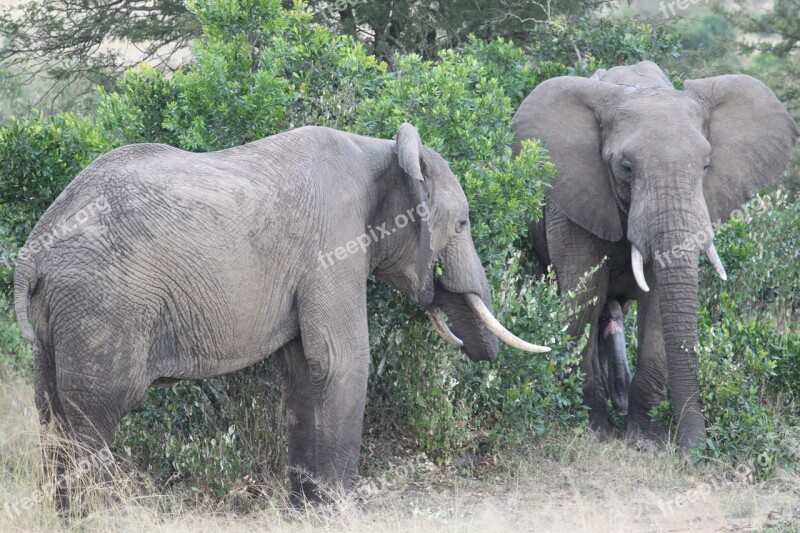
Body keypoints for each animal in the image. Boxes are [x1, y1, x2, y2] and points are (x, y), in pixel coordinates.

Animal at [14, 121, 552, 508]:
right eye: (461, 224)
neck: (380, 150)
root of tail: (32, 253)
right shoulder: (333, 246)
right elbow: (341, 360)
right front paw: (343, 512)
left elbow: (303, 371)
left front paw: (305, 510)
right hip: (104, 303)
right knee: (96, 413)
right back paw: (97, 514)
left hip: (60, 315)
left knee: (51, 410)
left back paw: (64, 515)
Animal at [512, 61, 800, 448]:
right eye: (625, 168)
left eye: (706, 166)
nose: (698, 449)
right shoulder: (571, 201)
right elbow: (582, 297)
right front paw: (592, 431)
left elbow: (660, 303)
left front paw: (645, 441)